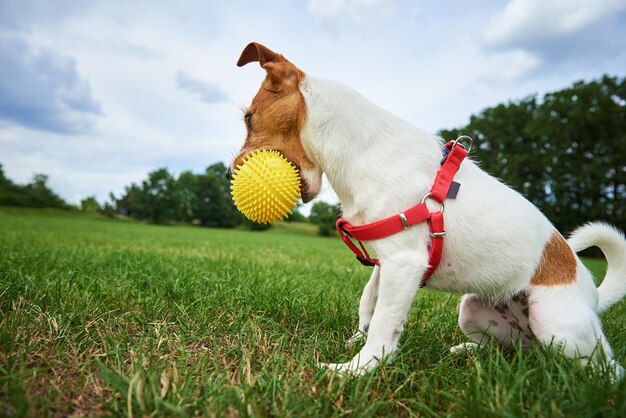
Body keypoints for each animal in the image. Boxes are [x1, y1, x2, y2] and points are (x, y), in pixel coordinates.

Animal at [228, 42, 624, 378]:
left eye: (248, 118)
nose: (229, 174)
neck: (360, 150)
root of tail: (591, 294)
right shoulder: (387, 260)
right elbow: (368, 302)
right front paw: (356, 340)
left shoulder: (404, 262)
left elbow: (384, 325)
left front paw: (356, 370)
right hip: (473, 311)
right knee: (519, 352)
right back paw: (468, 351)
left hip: (558, 327)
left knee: (604, 368)